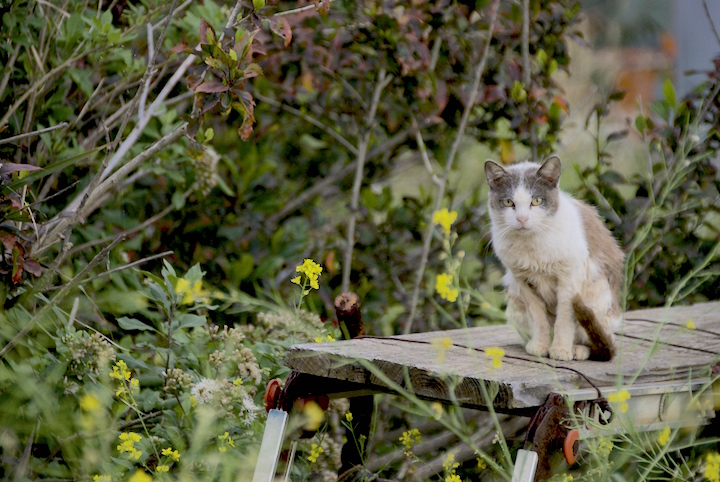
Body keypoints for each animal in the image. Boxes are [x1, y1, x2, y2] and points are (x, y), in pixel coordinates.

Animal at [484, 157, 624, 362]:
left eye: (536, 200)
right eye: (509, 202)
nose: (522, 219)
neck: (531, 246)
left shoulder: (568, 282)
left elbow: (564, 321)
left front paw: (561, 350)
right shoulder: (523, 283)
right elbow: (539, 319)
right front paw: (540, 347)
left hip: (598, 296)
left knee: (598, 339)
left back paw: (577, 349)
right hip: (514, 301)